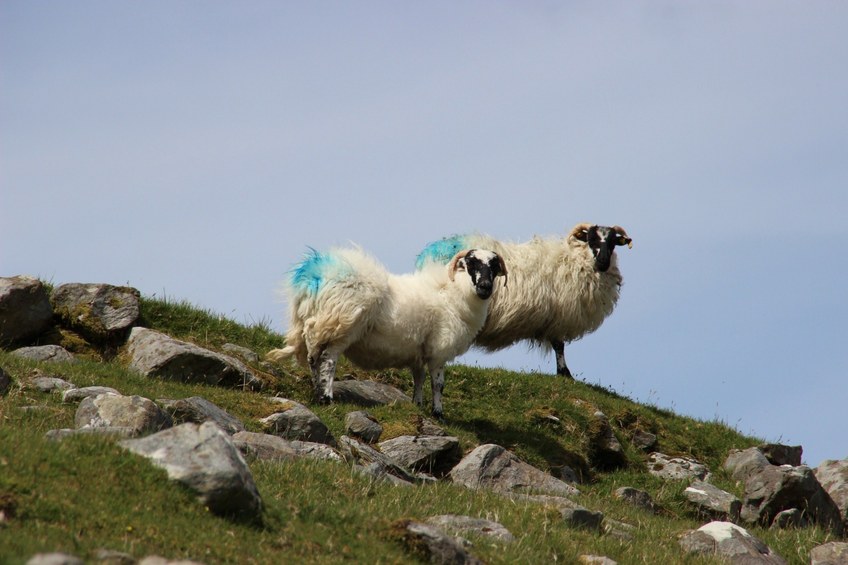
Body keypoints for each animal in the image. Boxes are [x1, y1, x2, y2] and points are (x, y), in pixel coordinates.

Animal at [266, 245, 504, 416]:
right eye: (471, 263)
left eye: (493, 267)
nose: (485, 287)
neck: (454, 292)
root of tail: (313, 275)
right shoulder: (439, 349)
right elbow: (438, 384)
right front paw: (438, 413)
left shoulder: (419, 351)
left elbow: (419, 379)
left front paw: (417, 405)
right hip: (342, 325)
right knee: (328, 359)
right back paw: (327, 397)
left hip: (319, 323)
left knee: (313, 357)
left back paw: (318, 392)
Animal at [414, 225, 632, 378]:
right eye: (592, 239)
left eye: (612, 242)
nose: (603, 261)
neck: (577, 260)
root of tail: (427, 254)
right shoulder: (559, 317)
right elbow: (559, 346)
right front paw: (565, 374)